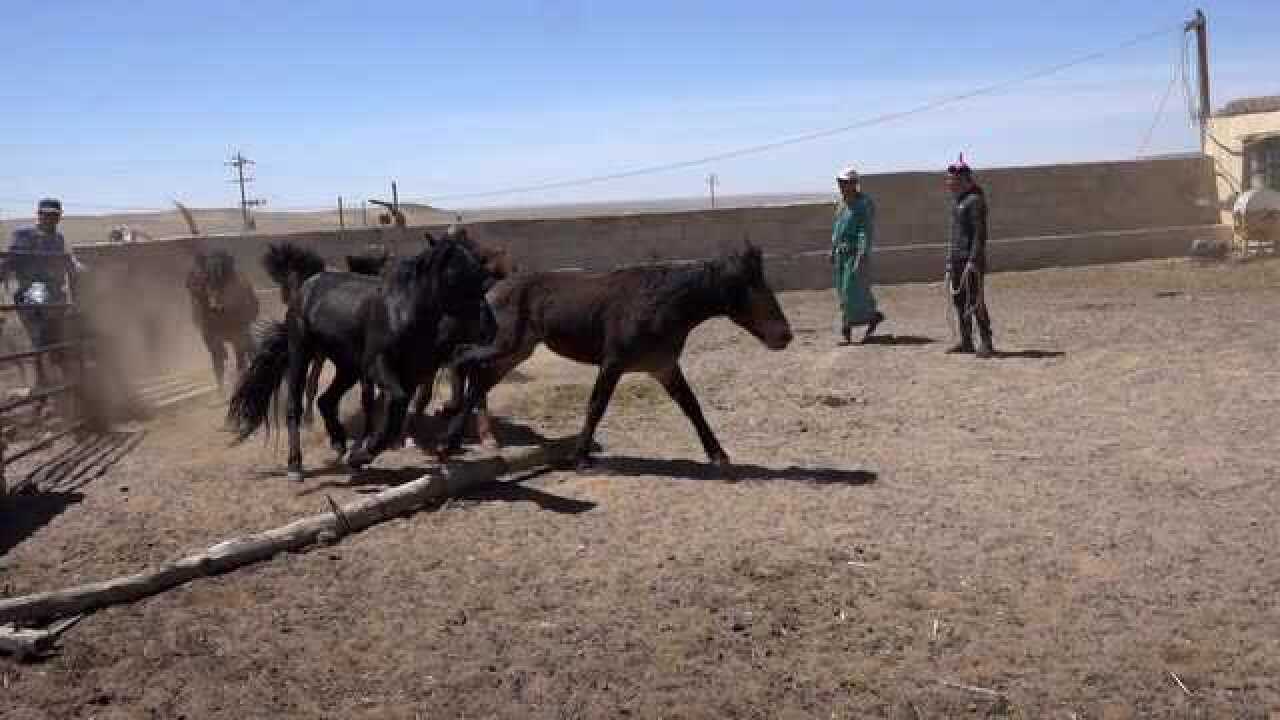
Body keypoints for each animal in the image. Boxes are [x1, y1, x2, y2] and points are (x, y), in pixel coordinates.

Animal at [185, 250, 260, 391]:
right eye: (203, 278)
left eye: (224, 279)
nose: (215, 305)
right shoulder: (209, 336)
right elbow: (218, 364)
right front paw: (221, 391)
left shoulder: (239, 334)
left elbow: (240, 361)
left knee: (246, 353)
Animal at [227, 234, 496, 481]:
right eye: (458, 277)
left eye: (482, 279)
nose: (489, 328)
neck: (402, 312)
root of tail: (307, 284)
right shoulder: (377, 366)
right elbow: (394, 403)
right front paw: (364, 452)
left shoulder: (409, 376)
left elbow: (396, 415)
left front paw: (360, 455)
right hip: (302, 354)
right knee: (295, 405)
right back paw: (295, 465)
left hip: (347, 367)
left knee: (326, 400)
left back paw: (339, 442)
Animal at [446, 243, 793, 472]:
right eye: (751, 288)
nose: (784, 336)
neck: (660, 303)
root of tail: (492, 289)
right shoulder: (613, 364)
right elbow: (596, 406)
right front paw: (581, 458)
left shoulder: (664, 367)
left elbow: (691, 407)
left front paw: (718, 455)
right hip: (504, 345)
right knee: (464, 360)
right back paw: (450, 434)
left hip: (515, 352)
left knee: (478, 380)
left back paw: (454, 439)